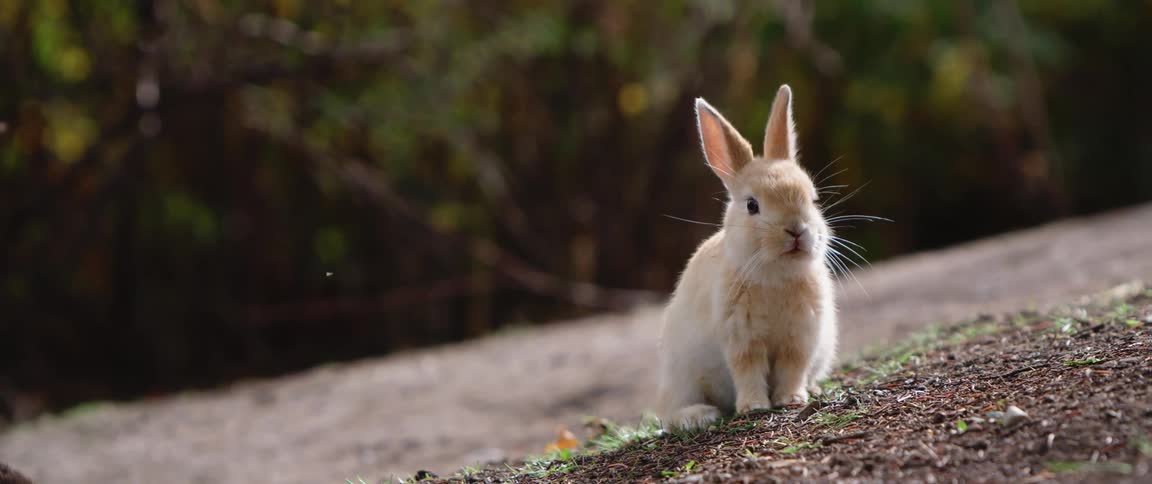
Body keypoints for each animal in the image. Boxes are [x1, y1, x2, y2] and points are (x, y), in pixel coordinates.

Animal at [655, 85, 837, 431]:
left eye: (813, 199)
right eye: (752, 205)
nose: (796, 230)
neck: (775, 275)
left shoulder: (800, 337)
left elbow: (792, 368)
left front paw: (791, 399)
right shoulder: (741, 337)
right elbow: (748, 371)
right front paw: (753, 406)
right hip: (681, 376)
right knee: (668, 414)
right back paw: (699, 416)